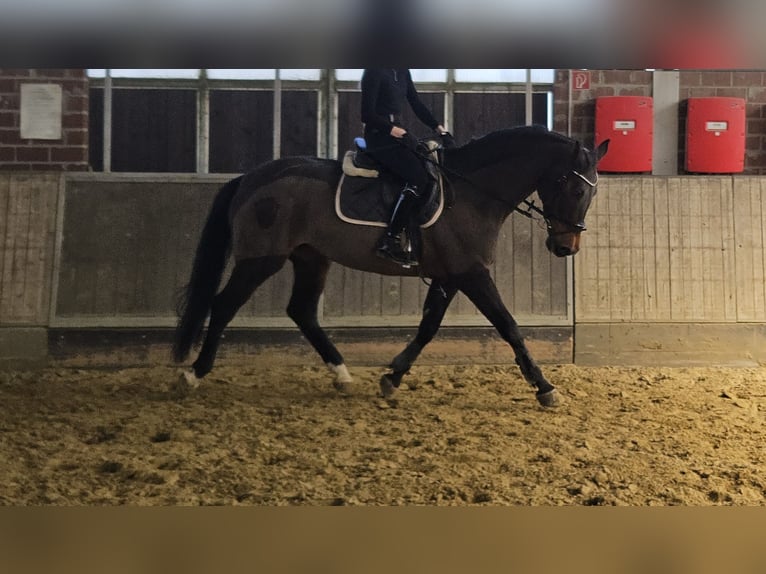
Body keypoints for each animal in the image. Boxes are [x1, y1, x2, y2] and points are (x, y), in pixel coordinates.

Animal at [173, 125, 609, 407]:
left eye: (592, 193)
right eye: (574, 188)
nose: (565, 247)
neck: (472, 192)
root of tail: (250, 177)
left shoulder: (450, 275)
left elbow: (428, 328)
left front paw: (392, 377)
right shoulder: (471, 273)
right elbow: (509, 326)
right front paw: (544, 387)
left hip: (311, 257)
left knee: (302, 311)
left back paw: (342, 374)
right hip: (261, 260)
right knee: (223, 306)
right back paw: (194, 373)